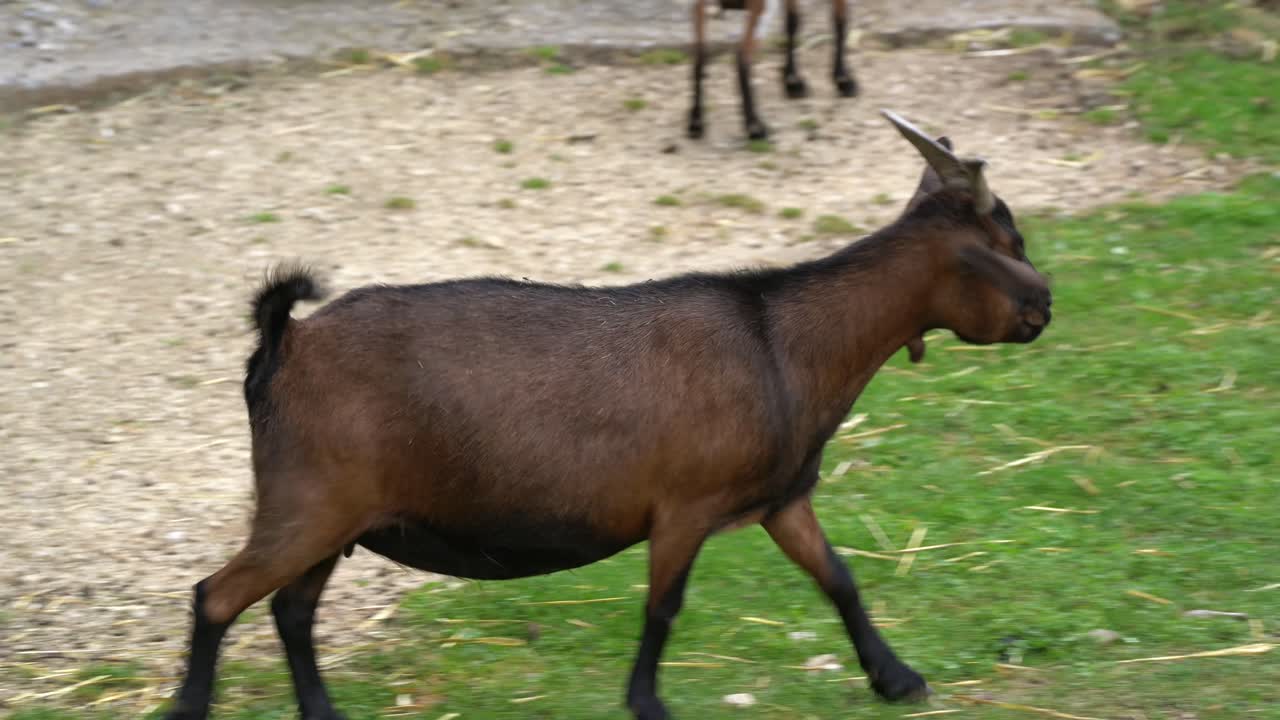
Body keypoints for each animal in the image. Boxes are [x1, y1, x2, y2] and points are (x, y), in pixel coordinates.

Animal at [162, 110, 1052, 720]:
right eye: (1008, 238)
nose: (1045, 308)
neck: (781, 342)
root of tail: (283, 343)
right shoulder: (684, 506)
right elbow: (663, 609)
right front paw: (648, 704)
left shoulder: (781, 500)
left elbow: (839, 578)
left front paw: (898, 679)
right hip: (308, 499)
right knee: (217, 596)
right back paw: (190, 709)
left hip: (336, 513)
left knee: (289, 610)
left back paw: (324, 714)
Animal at [690, 0, 859, 141]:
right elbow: (840, 19)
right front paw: (843, 79)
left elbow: (793, 19)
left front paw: (792, 81)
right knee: (740, 56)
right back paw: (754, 126)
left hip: (700, 6)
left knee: (700, 54)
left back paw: (695, 122)